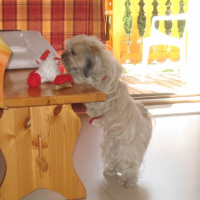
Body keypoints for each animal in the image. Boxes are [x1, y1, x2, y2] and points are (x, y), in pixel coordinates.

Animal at [61, 34, 152, 188]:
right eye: (66, 49)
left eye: (72, 52)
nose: (62, 55)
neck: (98, 70)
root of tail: (144, 118)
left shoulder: (100, 98)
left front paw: (75, 77)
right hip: (110, 146)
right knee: (114, 159)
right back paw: (111, 170)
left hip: (127, 147)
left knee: (129, 164)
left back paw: (129, 180)